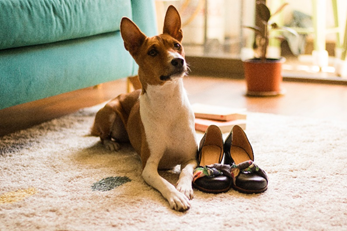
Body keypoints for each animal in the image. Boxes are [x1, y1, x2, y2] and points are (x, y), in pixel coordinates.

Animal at [91, 5, 198, 211]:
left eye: (176, 45)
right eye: (153, 52)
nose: (178, 60)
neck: (168, 103)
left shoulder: (191, 157)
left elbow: (186, 172)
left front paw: (184, 187)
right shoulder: (148, 167)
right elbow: (164, 182)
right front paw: (176, 196)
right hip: (110, 111)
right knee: (102, 136)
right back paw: (110, 144)